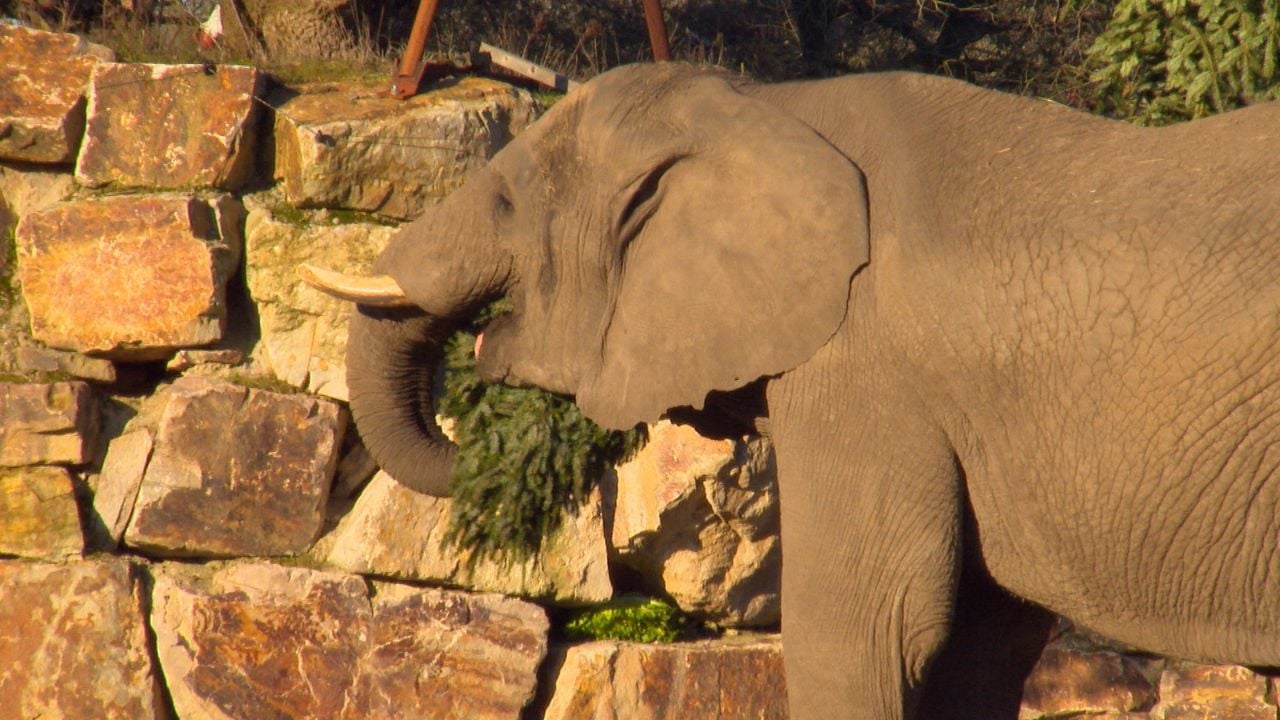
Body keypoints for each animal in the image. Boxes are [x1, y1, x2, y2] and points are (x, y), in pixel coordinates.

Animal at [302, 63, 1280, 719]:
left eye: (506, 204)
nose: (478, 425)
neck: (767, 104)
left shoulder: (865, 366)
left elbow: (873, 626)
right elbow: (974, 647)